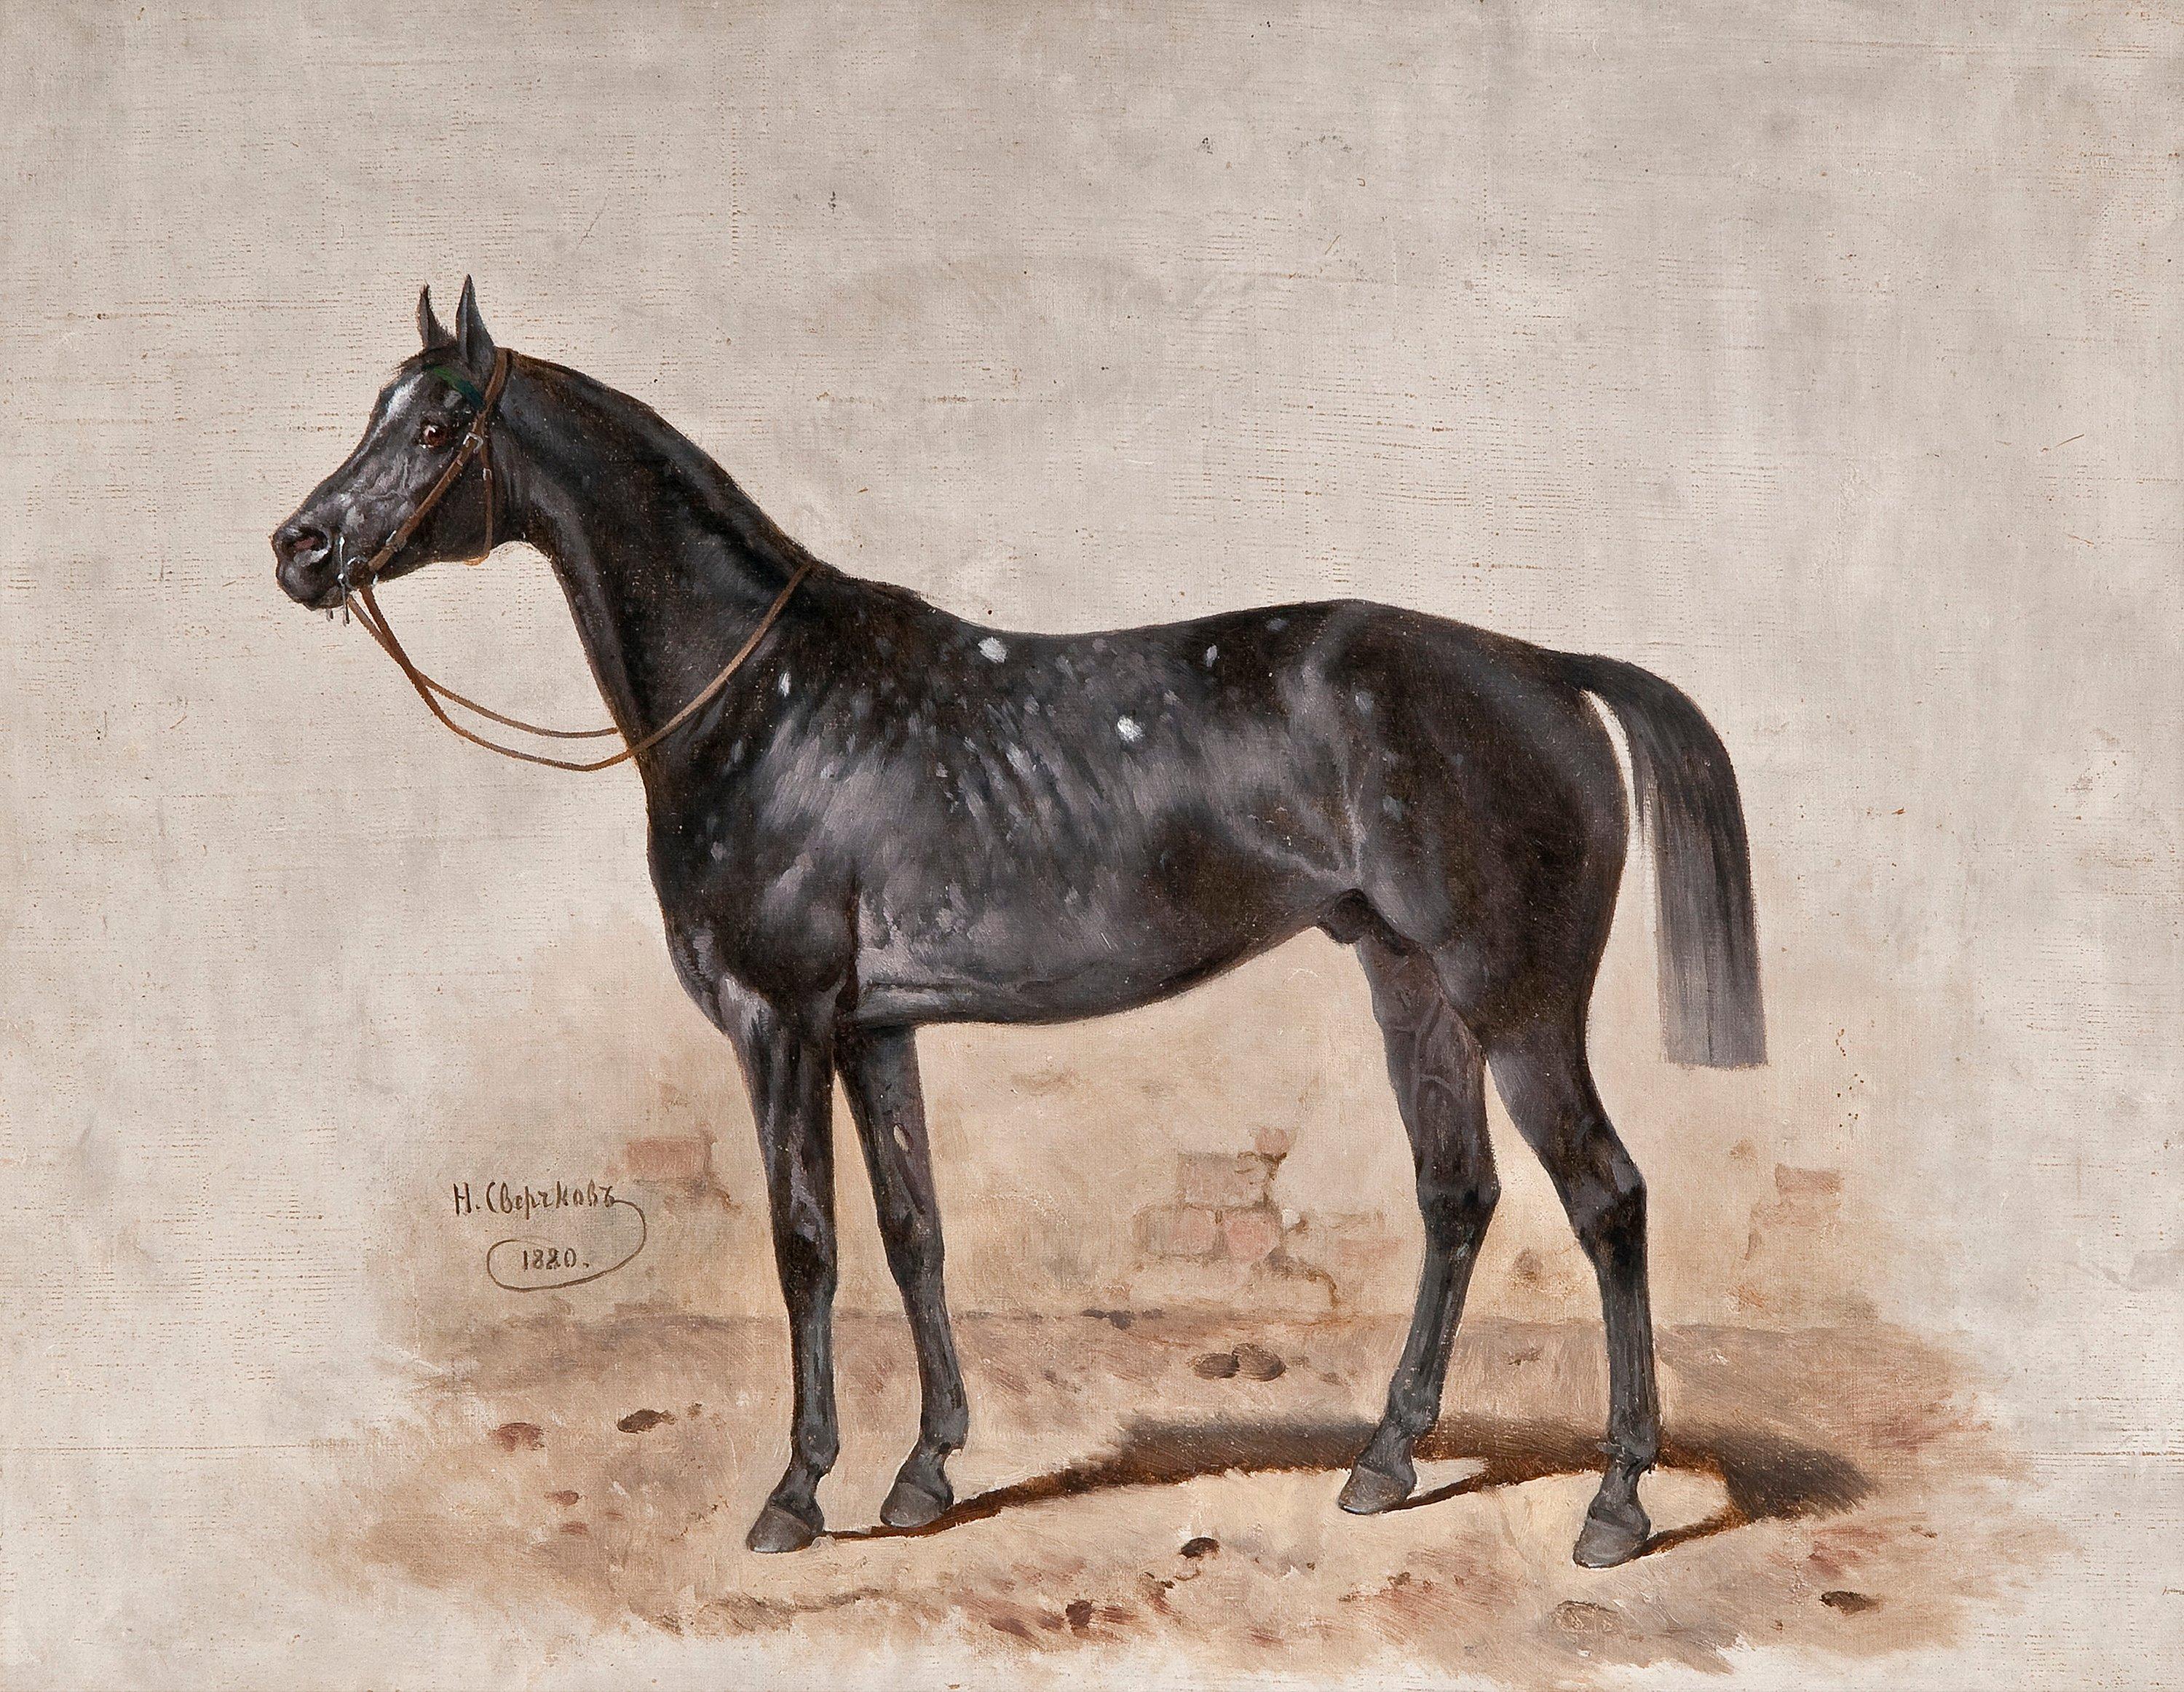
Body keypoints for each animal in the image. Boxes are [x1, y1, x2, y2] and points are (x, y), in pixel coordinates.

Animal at [272, 280, 1765, 1568]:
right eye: (379, 407)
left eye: (438, 424)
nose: (302, 548)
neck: (765, 703)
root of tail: (1548, 670)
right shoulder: (873, 1029)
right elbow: (912, 1230)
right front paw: (926, 1469)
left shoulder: (779, 1018)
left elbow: (804, 1246)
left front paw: (797, 1492)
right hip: (1409, 984)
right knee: (1457, 1198)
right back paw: (1386, 1460)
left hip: (1516, 1000)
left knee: (1609, 1200)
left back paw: (1618, 1502)